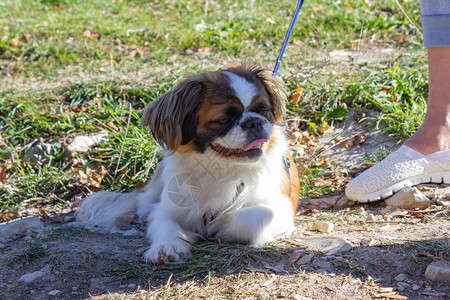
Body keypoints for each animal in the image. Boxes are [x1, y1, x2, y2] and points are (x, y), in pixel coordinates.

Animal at [77, 64, 298, 264]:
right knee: (144, 200)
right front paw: (167, 247)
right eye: (225, 120)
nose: (254, 121)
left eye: (264, 112)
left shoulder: (280, 210)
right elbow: (164, 224)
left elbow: (251, 217)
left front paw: (222, 227)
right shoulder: (168, 210)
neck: (220, 167)